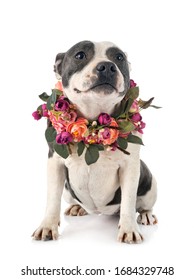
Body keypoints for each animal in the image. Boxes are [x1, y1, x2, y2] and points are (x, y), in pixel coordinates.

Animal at [32, 40, 158, 244]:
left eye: (119, 57)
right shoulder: (55, 164)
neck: (94, 123)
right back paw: (78, 207)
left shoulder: (130, 168)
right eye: (80, 55)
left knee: (141, 204)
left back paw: (146, 215)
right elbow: (52, 200)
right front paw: (47, 226)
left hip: (149, 183)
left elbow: (128, 201)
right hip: (68, 191)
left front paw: (129, 228)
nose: (107, 66)